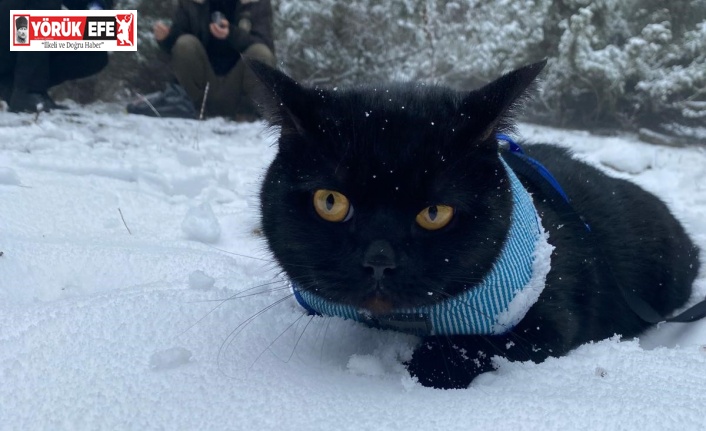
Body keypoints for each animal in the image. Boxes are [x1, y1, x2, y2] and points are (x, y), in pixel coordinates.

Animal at [249, 59, 700, 390]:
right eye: (331, 202)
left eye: (435, 213)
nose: (379, 260)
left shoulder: (547, 320)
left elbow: (469, 349)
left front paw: (422, 364)